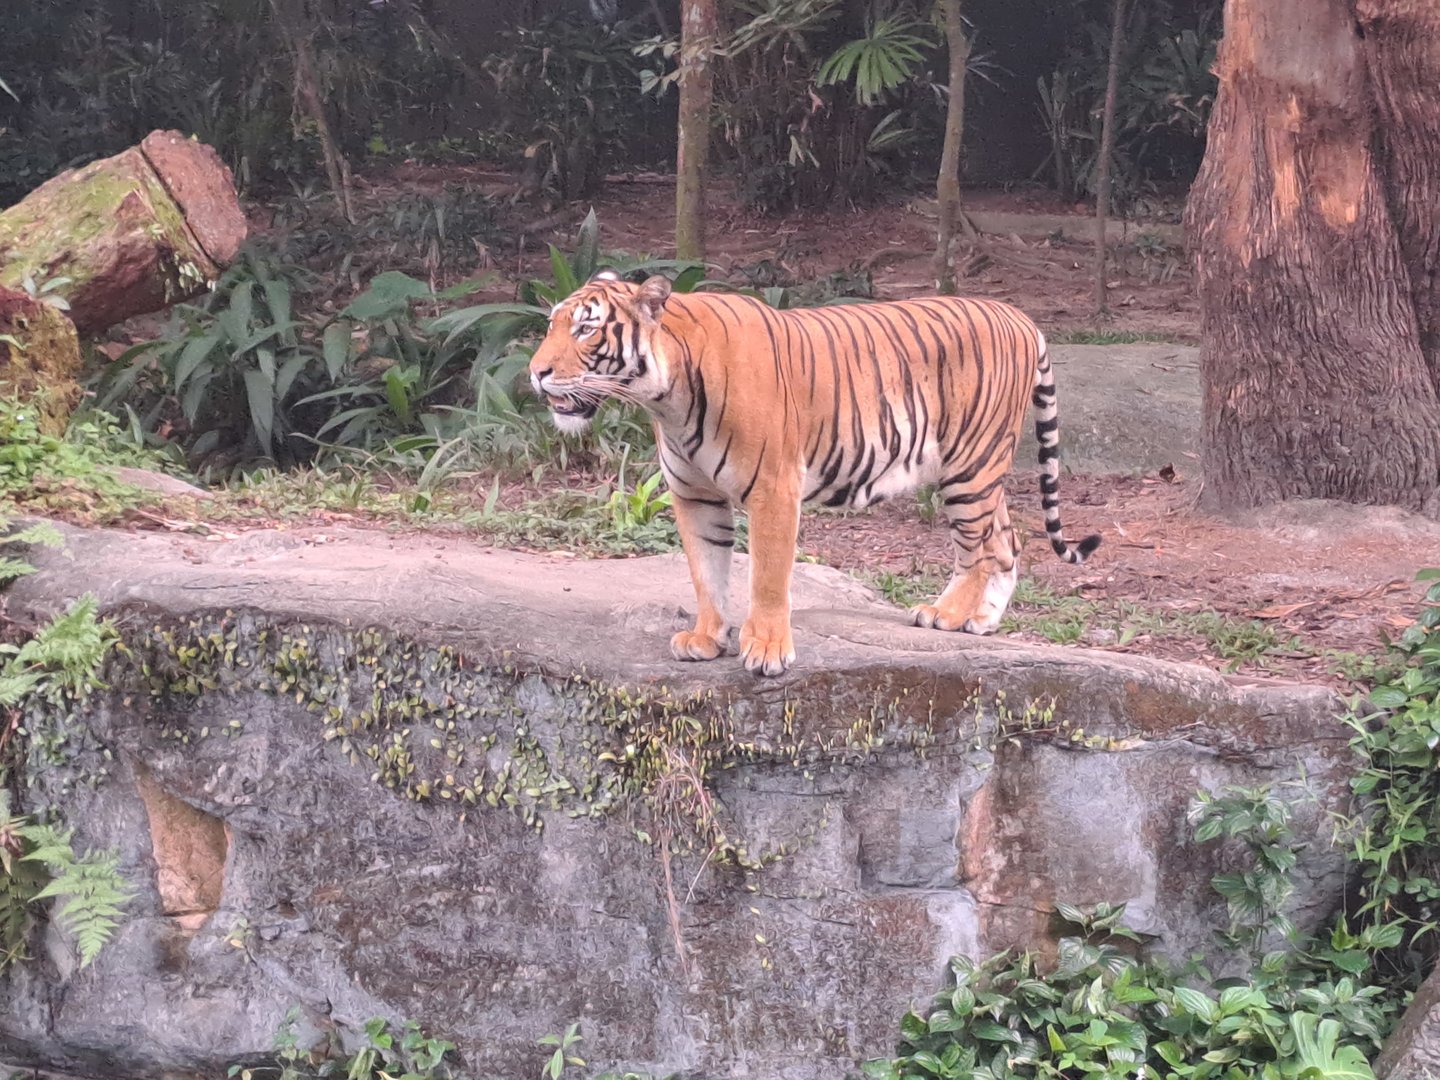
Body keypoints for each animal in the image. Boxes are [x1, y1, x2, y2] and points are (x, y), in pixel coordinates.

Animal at [529, 272, 1100, 677]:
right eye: (552, 325)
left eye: (585, 328)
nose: (535, 372)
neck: (666, 399)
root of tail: (1020, 316)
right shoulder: (695, 496)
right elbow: (706, 572)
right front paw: (707, 638)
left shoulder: (773, 489)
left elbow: (767, 575)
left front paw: (766, 651)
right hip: (977, 467)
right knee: (1007, 538)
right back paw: (980, 621)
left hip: (971, 463)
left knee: (980, 545)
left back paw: (949, 614)